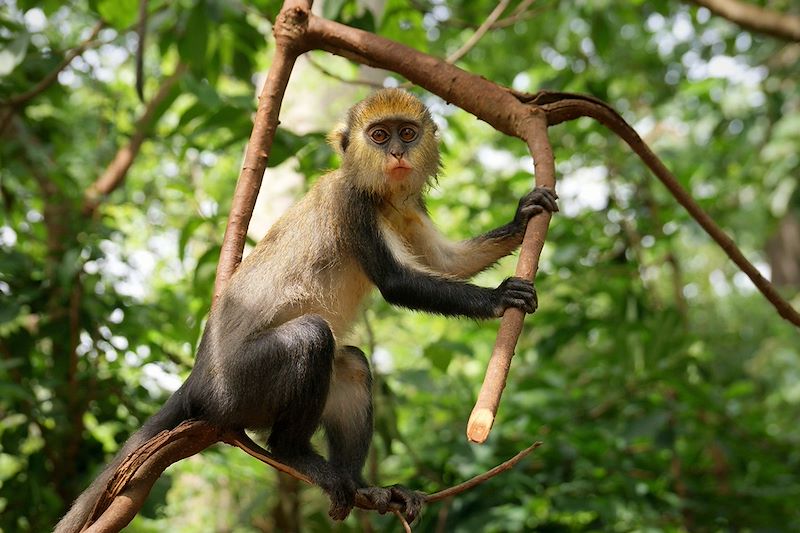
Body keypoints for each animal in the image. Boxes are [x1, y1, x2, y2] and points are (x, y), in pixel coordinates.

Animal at [54, 89, 556, 528]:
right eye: (379, 136)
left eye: (408, 133)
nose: (397, 153)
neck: (378, 193)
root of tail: (198, 382)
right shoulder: (350, 204)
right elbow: (397, 283)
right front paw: (499, 298)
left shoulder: (409, 206)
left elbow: (446, 261)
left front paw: (524, 216)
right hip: (239, 390)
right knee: (311, 336)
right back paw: (291, 453)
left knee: (351, 363)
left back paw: (362, 485)